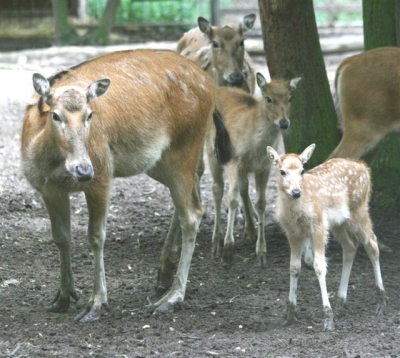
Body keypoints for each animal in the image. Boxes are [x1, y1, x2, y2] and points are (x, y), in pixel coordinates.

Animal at [21, 48, 234, 322]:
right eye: (55, 115)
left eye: (90, 115)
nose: (83, 169)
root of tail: (211, 85)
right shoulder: (48, 188)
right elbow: (61, 237)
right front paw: (63, 297)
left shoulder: (102, 175)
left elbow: (96, 235)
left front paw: (96, 304)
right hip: (159, 161)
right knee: (195, 193)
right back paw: (163, 276)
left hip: (184, 148)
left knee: (193, 213)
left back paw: (172, 297)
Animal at [206, 72, 304, 268]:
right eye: (268, 98)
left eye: (290, 97)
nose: (284, 123)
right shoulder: (234, 160)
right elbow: (232, 199)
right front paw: (228, 249)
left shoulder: (264, 167)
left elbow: (261, 203)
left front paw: (261, 252)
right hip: (212, 152)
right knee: (217, 189)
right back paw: (216, 242)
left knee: (243, 188)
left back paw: (250, 230)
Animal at [268, 144, 386, 332]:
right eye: (282, 171)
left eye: (302, 170)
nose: (296, 192)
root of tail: (365, 167)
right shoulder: (292, 233)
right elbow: (294, 267)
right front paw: (289, 315)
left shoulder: (318, 226)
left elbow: (319, 266)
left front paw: (327, 318)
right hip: (339, 222)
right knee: (351, 246)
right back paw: (340, 303)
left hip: (359, 209)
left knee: (371, 243)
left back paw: (380, 303)